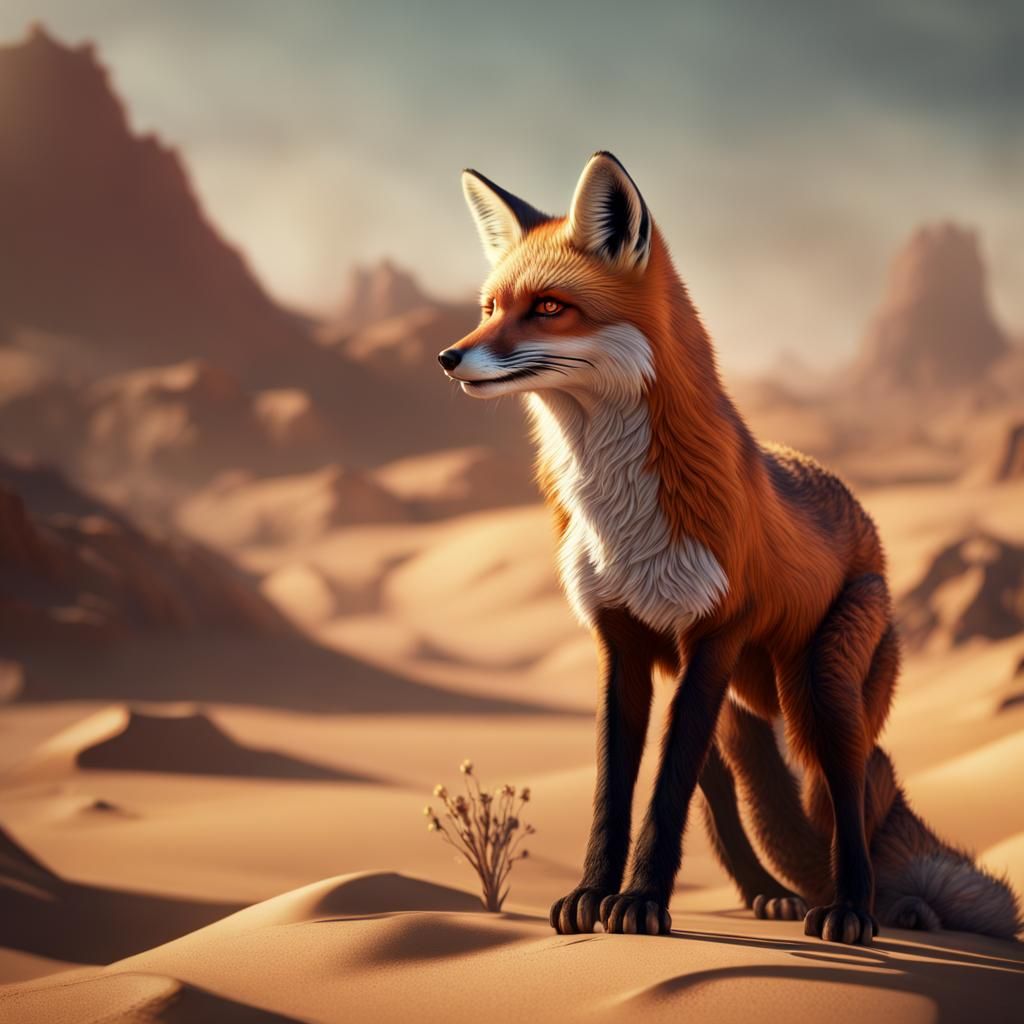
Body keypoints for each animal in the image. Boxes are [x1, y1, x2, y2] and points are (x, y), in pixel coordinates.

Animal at [438, 152, 1021, 945]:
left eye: (549, 308)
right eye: (490, 307)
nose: (448, 356)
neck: (622, 521)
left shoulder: (712, 635)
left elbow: (665, 791)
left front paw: (641, 906)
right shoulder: (621, 643)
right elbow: (617, 789)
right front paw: (595, 897)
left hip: (820, 693)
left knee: (844, 792)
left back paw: (850, 910)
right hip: (741, 714)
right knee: (723, 792)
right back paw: (770, 895)